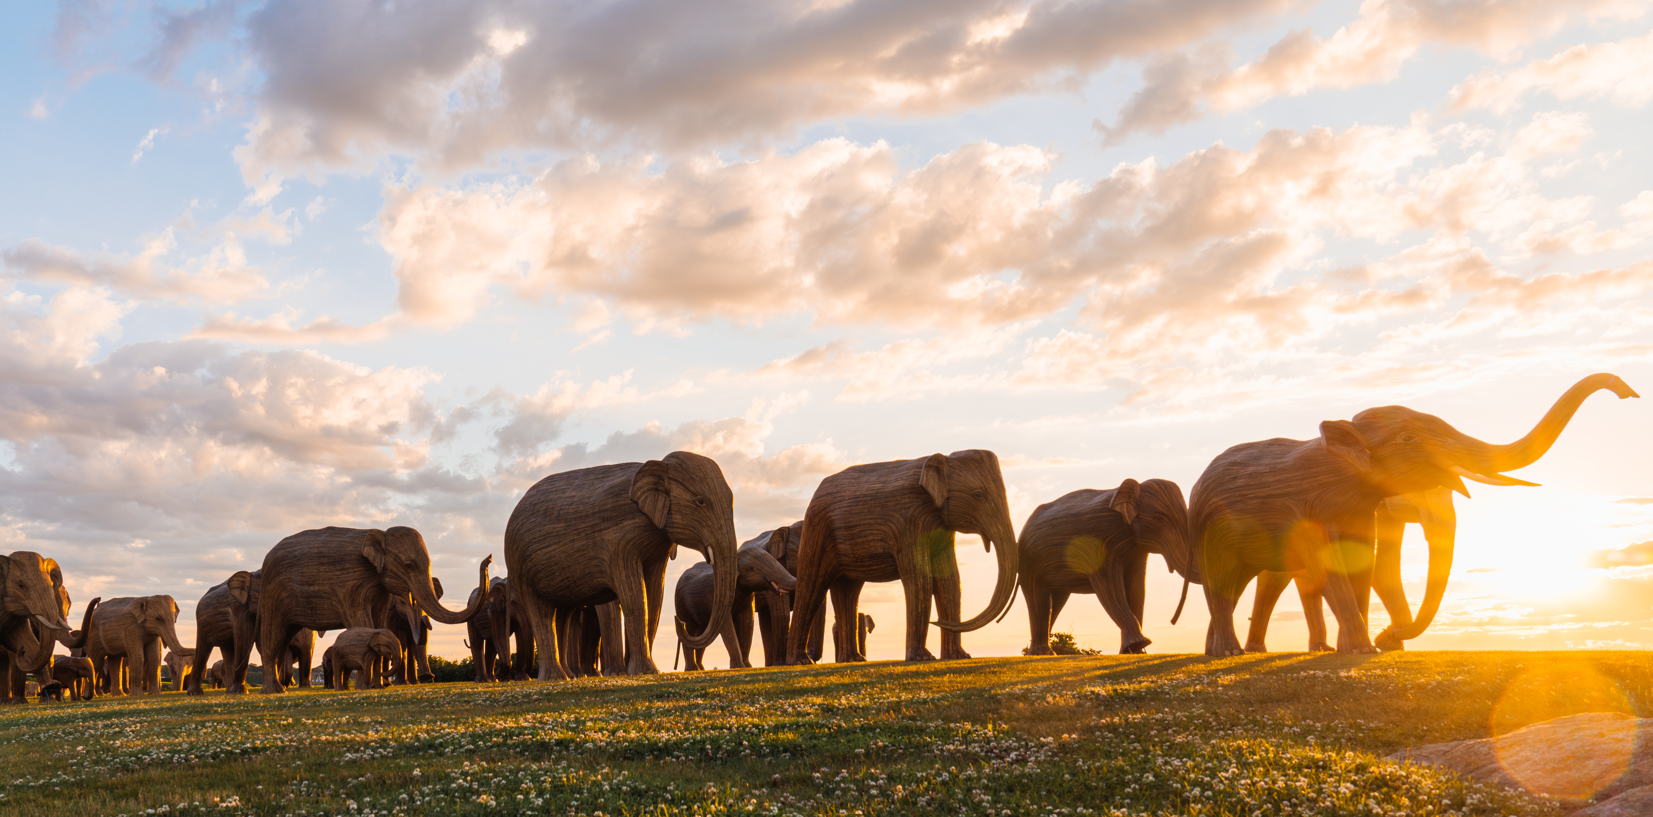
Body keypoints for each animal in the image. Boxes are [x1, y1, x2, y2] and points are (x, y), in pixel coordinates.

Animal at [256, 526, 490, 693]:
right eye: (408, 565)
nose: (488, 558)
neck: (380, 534)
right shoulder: (352, 584)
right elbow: (364, 623)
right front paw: (365, 687)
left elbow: (378, 622)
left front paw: (376, 687)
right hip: (272, 594)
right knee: (272, 636)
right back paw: (275, 691)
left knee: (283, 639)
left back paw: (281, 688)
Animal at [503, 451, 741, 678]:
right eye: (700, 502)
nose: (679, 622)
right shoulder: (620, 542)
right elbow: (635, 596)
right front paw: (646, 672)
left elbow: (654, 597)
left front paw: (642, 672)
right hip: (520, 564)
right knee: (541, 612)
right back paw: (555, 678)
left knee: (561, 614)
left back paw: (568, 676)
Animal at [785, 450, 1019, 665]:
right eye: (978, 494)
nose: (937, 621)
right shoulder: (908, 522)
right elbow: (920, 579)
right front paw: (923, 658)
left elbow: (951, 582)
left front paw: (959, 657)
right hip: (817, 530)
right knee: (812, 587)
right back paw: (801, 662)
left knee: (847, 592)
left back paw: (853, 660)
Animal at [1018, 478, 1199, 655]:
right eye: (1158, 518)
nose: (1172, 620)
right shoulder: (1099, 539)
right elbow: (1110, 587)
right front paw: (1139, 644)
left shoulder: (1137, 550)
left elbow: (1137, 588)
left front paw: (1135, 651)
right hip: (1029, 561)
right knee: (1038, 596)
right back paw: (1042, 653)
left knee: (1055, 601)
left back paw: (1041, 653)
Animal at [1190, 373, 1638, 656]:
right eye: (1408, 439)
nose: (1626, 391)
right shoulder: (1310, 510)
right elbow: (1341, 566)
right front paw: (1367, 647)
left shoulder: (1363, 510)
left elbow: (1366, 563)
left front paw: (1367, 648)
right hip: (1215, 530)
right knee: (1228, 583)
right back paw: (1231, 653)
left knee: (1235, 586)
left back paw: (1228, 651)